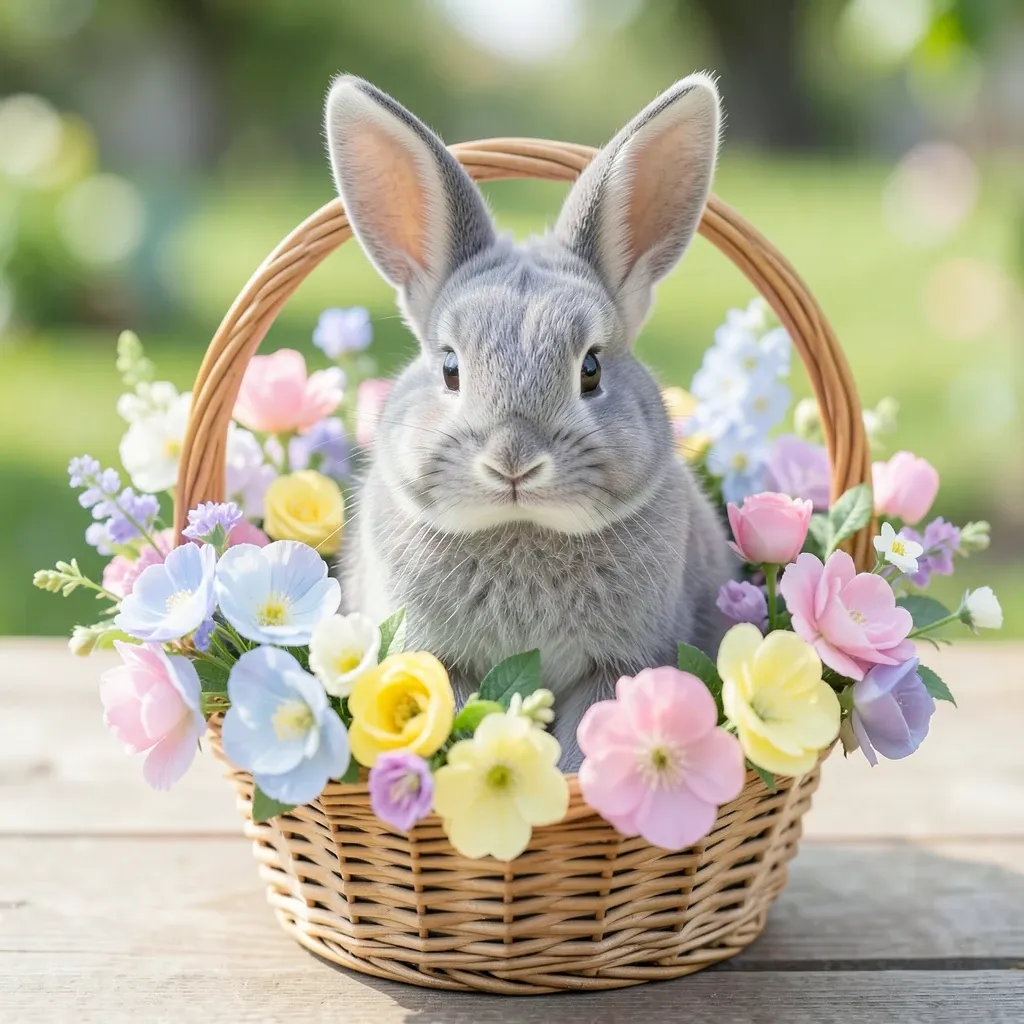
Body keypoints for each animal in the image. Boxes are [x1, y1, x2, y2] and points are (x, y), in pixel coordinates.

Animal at [325, 73, 736, 769]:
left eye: (591, 369)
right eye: (450, 369)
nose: (512, 461)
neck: (522, 528)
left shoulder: (620, 666)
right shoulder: (435, 662)